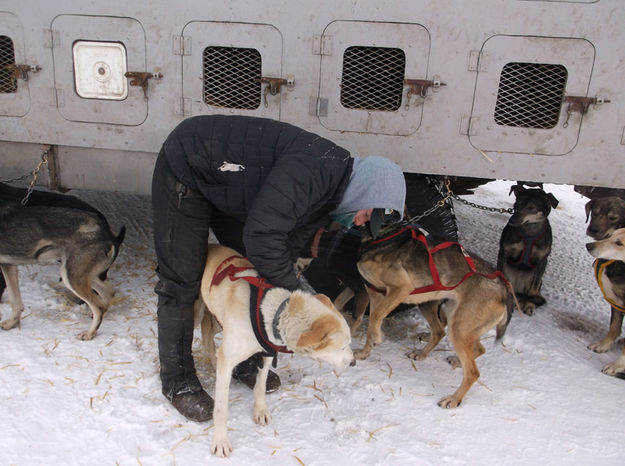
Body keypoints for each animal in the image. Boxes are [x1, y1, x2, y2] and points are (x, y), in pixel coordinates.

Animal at [354, 226, 516, 408]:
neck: (382, 235)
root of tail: (504, 287)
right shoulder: (375, 295)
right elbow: (372, 322)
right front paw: (365, 352)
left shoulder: (401, 288)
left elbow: (375, 317)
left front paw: (377, 338)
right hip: (451, 316)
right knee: (462, 342)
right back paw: (432, 355)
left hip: (457, 328)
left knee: (472, 371)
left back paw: (454, 399)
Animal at [494, 184, 560, 314]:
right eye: (517, 204)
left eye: (531, 208)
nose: (511, 221)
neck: (529, 231)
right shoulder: (504, 252)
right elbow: (501, 275)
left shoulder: (542, 260)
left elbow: (533, 287)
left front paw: (530, 303)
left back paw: (528, 303)